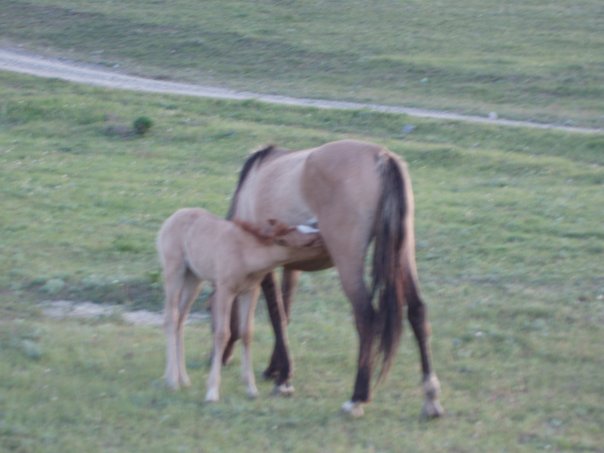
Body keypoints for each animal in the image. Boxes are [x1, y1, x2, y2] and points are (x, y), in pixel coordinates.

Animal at [158, 207, 324, 400]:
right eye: (309, 242)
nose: (320, 228)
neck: (245, 255)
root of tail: (171, 218)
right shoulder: (224, 289)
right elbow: (222, 333)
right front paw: (212, 391)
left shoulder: (250, 291)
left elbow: (247, 333)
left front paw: (251, 388)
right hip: (174, 270)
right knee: (171, 317)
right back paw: (172, 381)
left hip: (194, 278)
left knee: (181, 319)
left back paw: (182, 378)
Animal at [224, 139, 442, 416]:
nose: (219, 358)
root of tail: (381, 157)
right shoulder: (291, 266)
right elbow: (285, 312)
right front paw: (277, 370)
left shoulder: (266, 268)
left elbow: (276, 315)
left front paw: (283, 378)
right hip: (402, 253)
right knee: (417, 312)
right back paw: (431, 398)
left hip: (348, 260)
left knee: (366, 316)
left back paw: (358, 397)